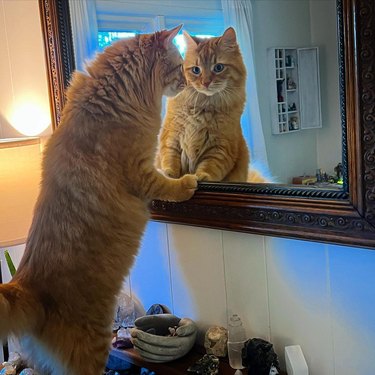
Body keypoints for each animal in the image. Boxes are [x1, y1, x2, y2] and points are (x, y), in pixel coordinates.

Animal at [0, 25, 198, 374]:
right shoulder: (140, 170)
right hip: (93, 347)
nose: (187, 84)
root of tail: (25, 285)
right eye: (178, 66)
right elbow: (167, 184)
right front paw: (188, 182)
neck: (112, 99)